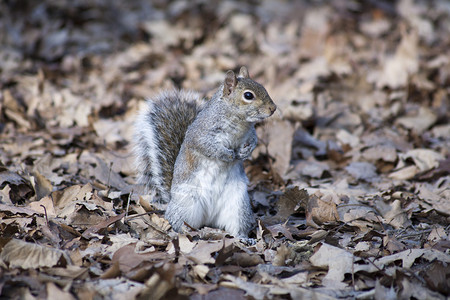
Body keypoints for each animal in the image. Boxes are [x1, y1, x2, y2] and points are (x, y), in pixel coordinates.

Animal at [133, 67, 274, 238]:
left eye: (262, 86)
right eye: (248, 95)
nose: (273, 108)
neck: (240, 123)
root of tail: (209, 218)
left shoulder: (250, 133)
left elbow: (254, 140)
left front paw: (246, 151)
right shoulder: (201, 134)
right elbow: (207, 146)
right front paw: (228, 154)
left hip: (238, 206)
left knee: (236, 225)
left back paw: (243, 238)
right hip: (186, 204)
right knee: (177, 222)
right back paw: (183, 231)